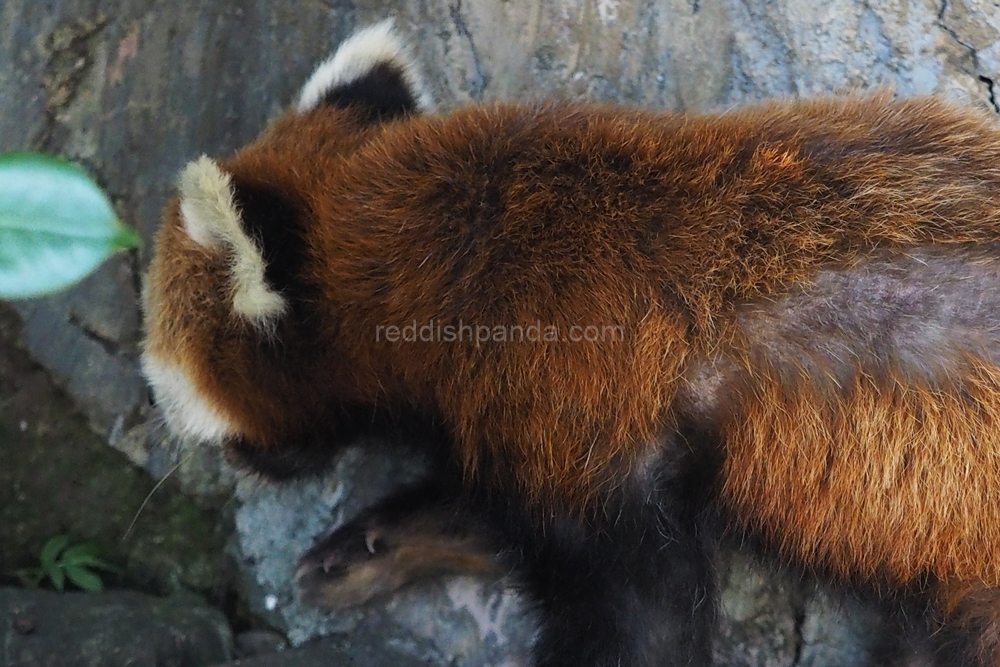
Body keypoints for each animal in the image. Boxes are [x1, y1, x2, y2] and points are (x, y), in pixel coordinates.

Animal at [141, 19, 1000, 667]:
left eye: (165, 385)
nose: (215, 458)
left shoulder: (584, 413)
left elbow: (639, 616)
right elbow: (483, 509)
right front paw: (373, 547)